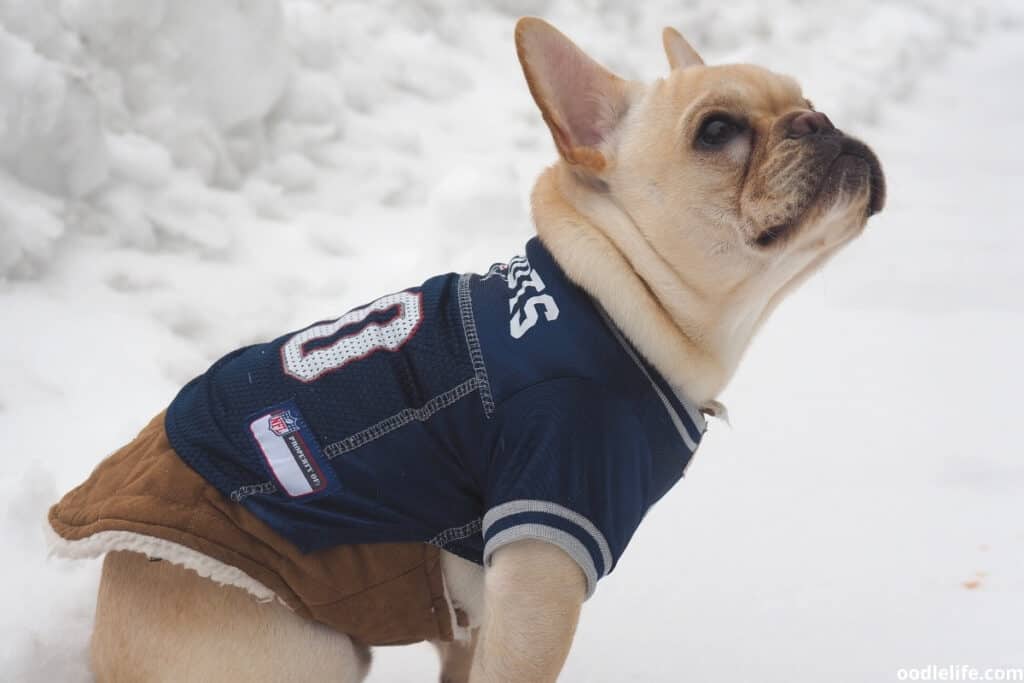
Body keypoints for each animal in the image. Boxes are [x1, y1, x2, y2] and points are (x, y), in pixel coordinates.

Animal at [48, 15, 880, 683]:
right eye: (716, 132)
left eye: (804, 98)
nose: (818, 120)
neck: (615, 299)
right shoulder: (544, 558)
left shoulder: (479, 612)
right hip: (309, 649)